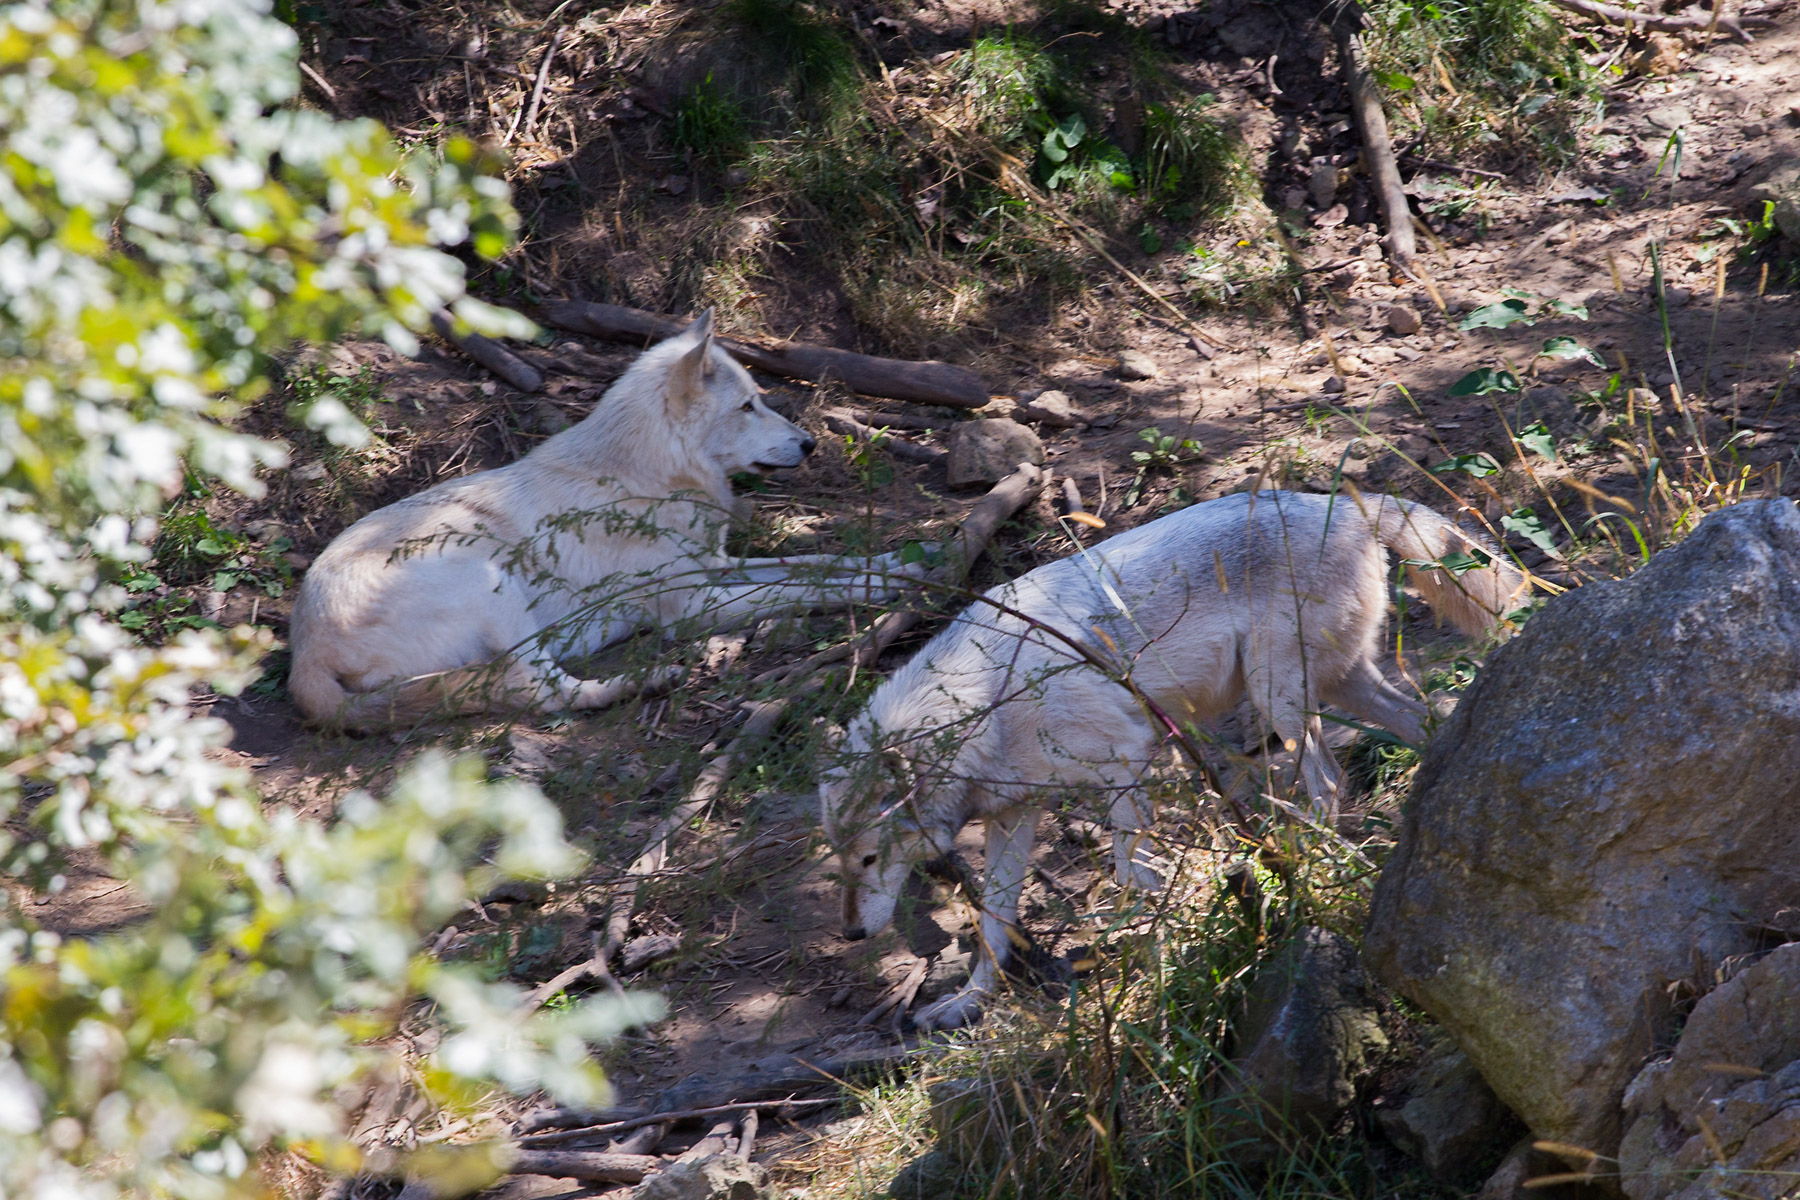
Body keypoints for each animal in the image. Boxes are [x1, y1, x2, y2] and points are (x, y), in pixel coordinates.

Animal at [290, 310, 918, 730]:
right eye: (748, 406)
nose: (810, 444)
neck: (649, 477)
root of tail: (304, 656)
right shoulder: (694, 605)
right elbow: (808, 586)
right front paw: (886, 587)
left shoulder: (716, 565)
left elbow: (820, 561)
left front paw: (907, 562)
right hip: (488, 576)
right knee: (543, 693)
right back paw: (649, 681)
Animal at [820, 488, 1526, 1031]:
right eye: (841, 863)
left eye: (870, 859)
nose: (850, 936)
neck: (985, 702)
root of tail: (1345, 501)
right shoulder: (1013, 814)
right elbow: (994, 920)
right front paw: (968, 1002)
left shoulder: (1126, 758)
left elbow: (1127, 867)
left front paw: (1161, 918)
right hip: (1337, 687)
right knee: (1423, 721)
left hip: (1280, 700)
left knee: (1327, 784)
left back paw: (1316, 868)